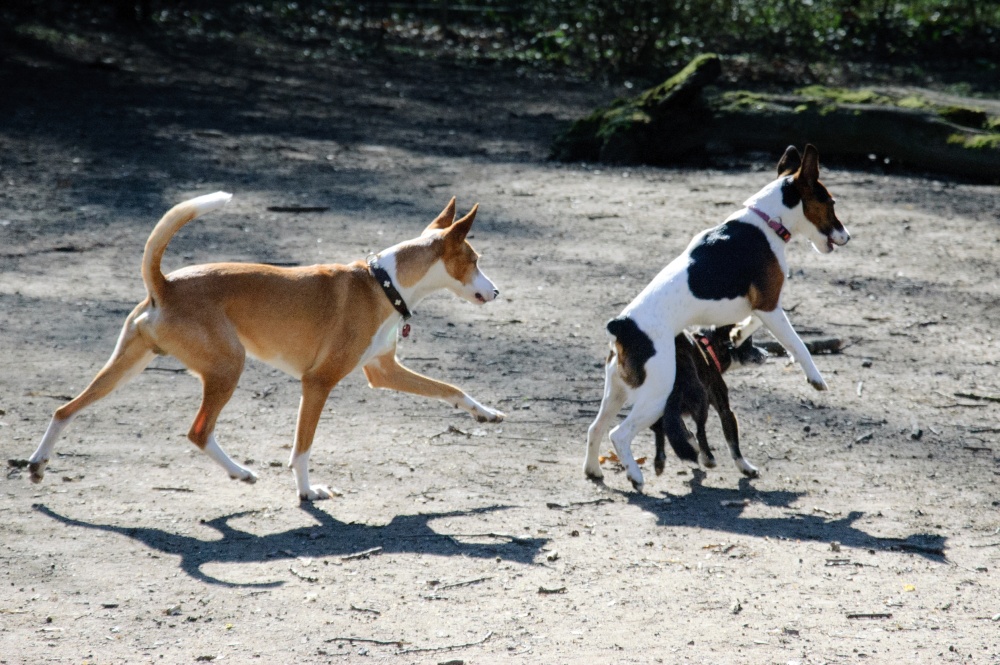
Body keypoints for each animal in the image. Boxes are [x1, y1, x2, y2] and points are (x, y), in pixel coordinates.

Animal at [27, 195, 504, 500]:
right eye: (475, 261)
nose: (497, 291)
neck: (383, 283)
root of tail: (164, 285)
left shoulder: (383, 372)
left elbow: (452, 389)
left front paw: (486, 413)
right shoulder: (318, 383)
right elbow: (302, 448)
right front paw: (307, 491)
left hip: (125, 368)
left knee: (64, 409)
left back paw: (37, 462)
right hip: (228, 366)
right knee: (199, 431)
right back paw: (240, 472)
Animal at [656, 326, 764, 478]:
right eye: (748, 341)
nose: (766, 353)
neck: (709, 348)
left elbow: (682, 429)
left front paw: (691, 444)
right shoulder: (725, 410)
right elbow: (733, 445)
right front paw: (746, 467)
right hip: (702, 401)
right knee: (700, 431)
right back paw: (708, 458)